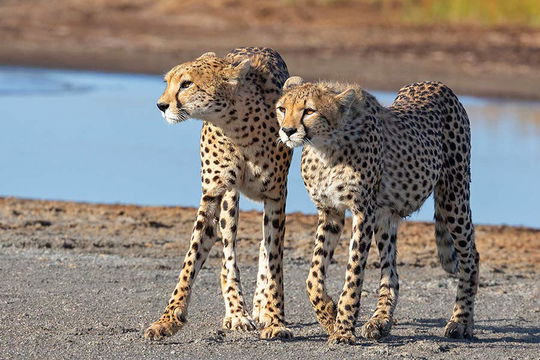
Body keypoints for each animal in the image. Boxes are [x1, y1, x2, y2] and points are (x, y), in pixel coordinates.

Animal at [143, 47, 292, 340]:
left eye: (186, 84)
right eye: (168, 82)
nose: (161, 105)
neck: (237, 125)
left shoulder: (276, 196)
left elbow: (274, 261)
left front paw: (274, 318)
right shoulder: (214, 192)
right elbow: (193, 258)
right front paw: (168, 318)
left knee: (264, 247)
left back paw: (259, 308)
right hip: (230, 199)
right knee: (228, 253)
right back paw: (237, 313)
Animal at [276, 76, 478, 344]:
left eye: (309, 111)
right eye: (282, 109)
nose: (287, 131)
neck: (326, 147)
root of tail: (436, 83)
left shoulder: (363, 212)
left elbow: (353, 274)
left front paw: (343, 330)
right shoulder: (330, 212)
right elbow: (313, 275)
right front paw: (328, 316)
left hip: (453, 196)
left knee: (471, 256)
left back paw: (461, 321)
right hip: (386, 217)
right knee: (391, 273)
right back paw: (380, 321)